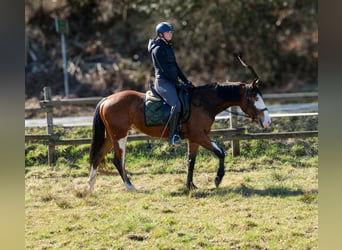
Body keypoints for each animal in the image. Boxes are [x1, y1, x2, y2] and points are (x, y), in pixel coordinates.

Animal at [88, 77, 272, 192]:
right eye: (255, 99)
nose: (268, 121)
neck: (203, 103)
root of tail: (106, 100)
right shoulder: (199, 136)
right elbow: (220, 152)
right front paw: (218, 179)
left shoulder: (195, 139)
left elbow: (191, 161)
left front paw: (190, 186)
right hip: (120, 136)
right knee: (118, 160)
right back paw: (130, 187)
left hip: (112, 136)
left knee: (98, 156)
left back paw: (90, 187)